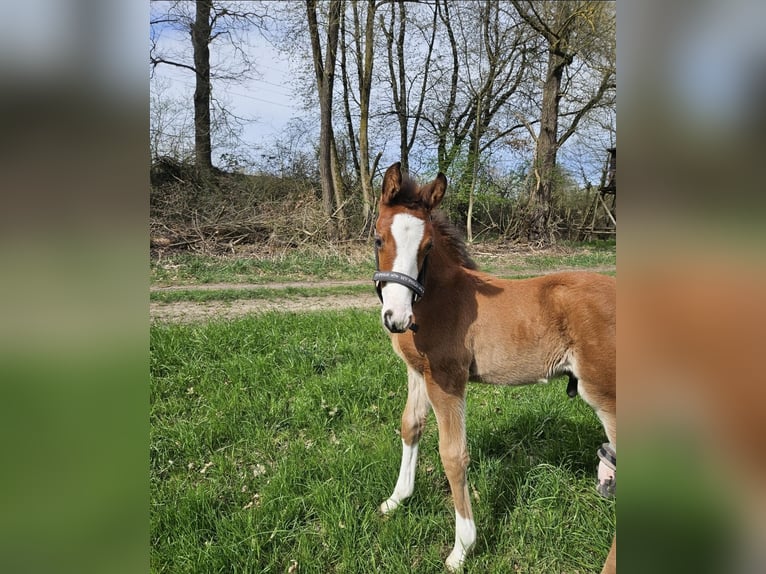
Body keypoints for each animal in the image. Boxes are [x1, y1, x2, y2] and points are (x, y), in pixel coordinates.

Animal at [372, 162, 616, 573]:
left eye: (427, 246)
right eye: (378, 240)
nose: (397, 318)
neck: (438, 298)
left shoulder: (448, 379)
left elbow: (453, 455)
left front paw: (462, 548)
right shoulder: (418, 372)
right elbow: (410, 426)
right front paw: (397, 499)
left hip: (604, 391)